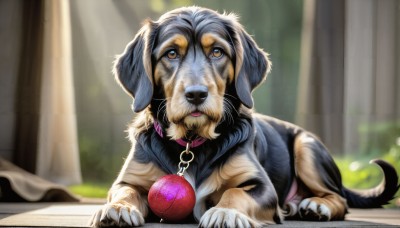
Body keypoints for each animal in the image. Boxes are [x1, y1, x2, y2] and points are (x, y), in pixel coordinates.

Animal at [89, 6, 398, 227]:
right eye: (171, 53)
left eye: (217, 52)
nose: (197, 94)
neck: (191, 143)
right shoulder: (129, 179)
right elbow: (125, 191)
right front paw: (117, 209)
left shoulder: (261, 185)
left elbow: (235, 192)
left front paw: (225, 212)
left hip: (306, 146)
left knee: (339, 198)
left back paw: (315, 205)